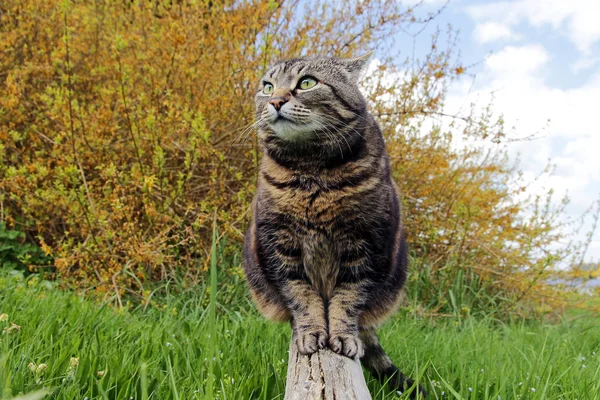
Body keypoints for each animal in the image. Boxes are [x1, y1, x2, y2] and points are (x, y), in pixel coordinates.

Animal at [241, 52, 424, 396]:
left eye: (307, 83)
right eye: (267, 85)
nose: (275, 100)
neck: (311, 168)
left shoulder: (365, 244)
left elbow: (348, 300)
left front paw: (342, 336)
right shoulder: (280, 244)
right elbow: (301, 296)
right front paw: (310, 332)